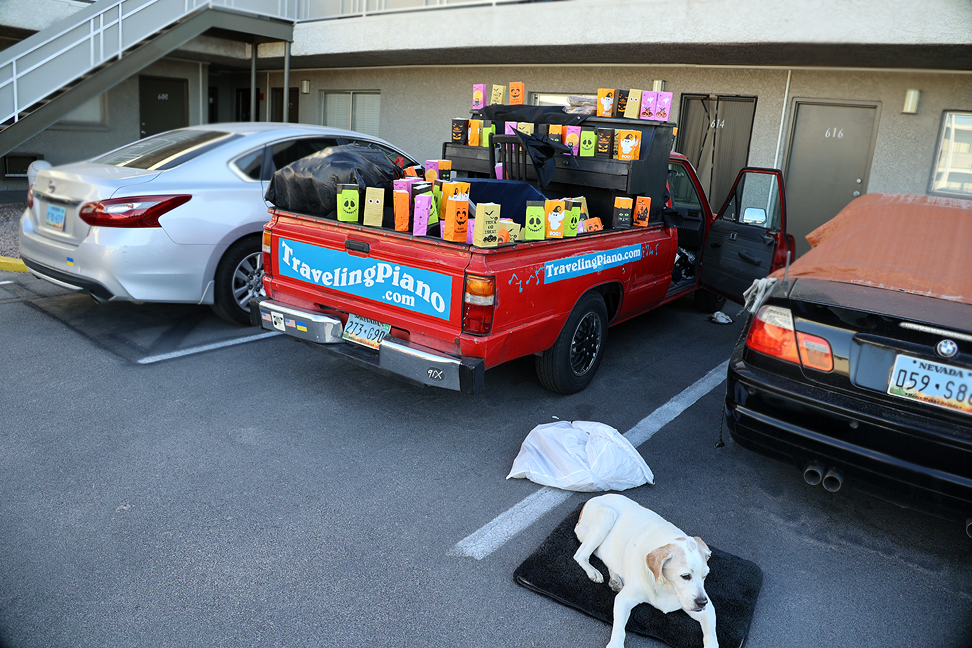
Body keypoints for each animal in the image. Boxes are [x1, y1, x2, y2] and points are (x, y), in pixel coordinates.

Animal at [573, 494, 717, 648]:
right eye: (685, 576)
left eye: (705, 576)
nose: (702, 602)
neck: (666, 586)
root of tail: (593, 499)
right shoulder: (623, 599)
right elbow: (619, 629)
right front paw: (615, 644)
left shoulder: (707, 609)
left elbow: (711, 635)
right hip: (607, 515)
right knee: (580, 555)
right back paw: (593, 571)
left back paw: (615, 579)